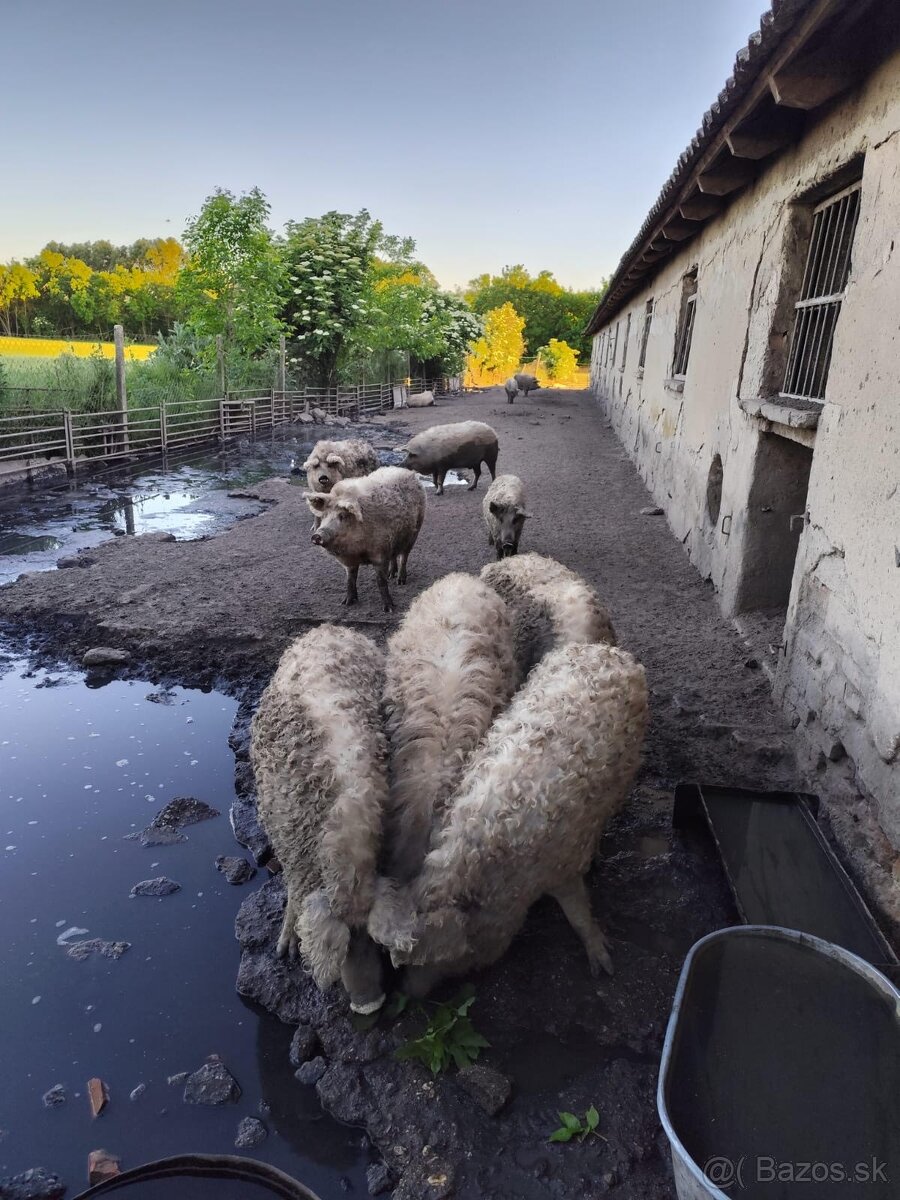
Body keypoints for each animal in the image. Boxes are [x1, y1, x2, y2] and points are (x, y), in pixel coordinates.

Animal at [307, 460, 427, 609]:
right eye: (323, 516)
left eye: (342, 516)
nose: (317, 535)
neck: (357, 549)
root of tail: (407, 471)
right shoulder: (350, 560)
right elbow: (350, 579)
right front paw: (347, 603)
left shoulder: (380, 552)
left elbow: (380, 581)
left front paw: (389, 608)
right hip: (394, 540)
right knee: (394, 556)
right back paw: (391, 575)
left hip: (415, 531)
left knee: (404, 556)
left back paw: (400, 581)